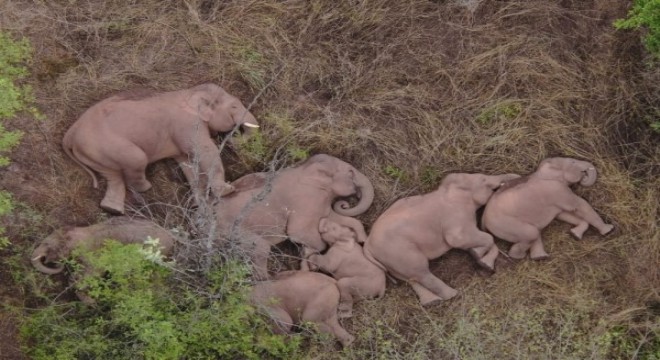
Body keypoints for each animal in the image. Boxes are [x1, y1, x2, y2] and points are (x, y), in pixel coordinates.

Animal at [62, 83, 258, 215]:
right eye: (234, 106)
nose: (233, 137)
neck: (190, 92)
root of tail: (69, 134)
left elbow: (187, 162)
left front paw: (200, 204)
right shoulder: (187, 124)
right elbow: (204, 151)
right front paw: (227, 190)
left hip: (94, 153)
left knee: (113, 176)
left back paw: (112, 210)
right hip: (105, 144)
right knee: (136, 159)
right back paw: (145, 188)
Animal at [214, 153, 374, 280]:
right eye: (351, 173)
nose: (345, 204)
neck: (304, 168)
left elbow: (331, 217)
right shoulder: (306, 199)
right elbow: (298, 233)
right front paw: (309, 261)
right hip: (233, 231)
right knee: (260, 249)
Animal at [360, 173, 520, 306]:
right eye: (483, 179)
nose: (516, 178)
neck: (447, 190)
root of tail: (368, 245)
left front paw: (482, 260)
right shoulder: (456, 216)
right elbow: (463, 239)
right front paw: (478, 256)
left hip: (390, 260)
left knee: (410, 278)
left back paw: (432, 302)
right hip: (399, 251)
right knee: (420, 271)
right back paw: (452, 295)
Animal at [480, 156, 612, 260]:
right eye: (573, 162)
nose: (584, 175)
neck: (543, 170)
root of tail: (483, 219)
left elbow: (563, 214)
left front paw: (575, 234)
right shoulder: (558, 190)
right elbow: (580, 205)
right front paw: (609, 230)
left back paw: (540, 257)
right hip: (504, 224)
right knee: (531, 233)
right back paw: (518, 257)